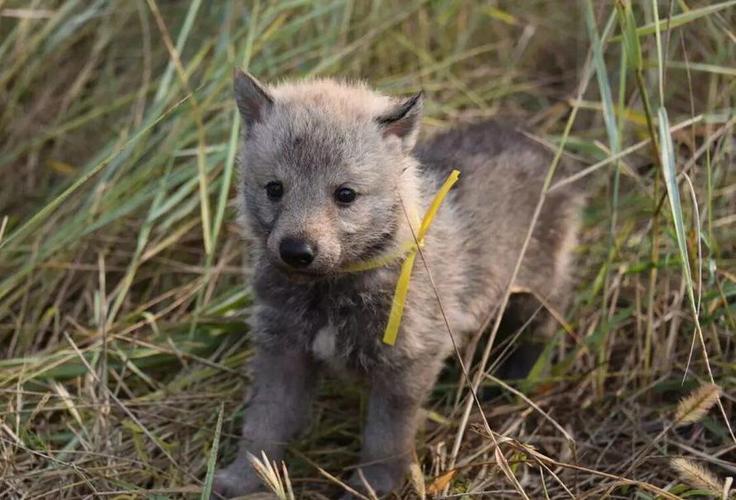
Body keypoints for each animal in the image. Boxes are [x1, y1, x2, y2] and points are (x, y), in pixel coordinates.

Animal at [216, 72, 584, 498]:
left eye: (345, 194)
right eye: (274, 188)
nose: (296, 251)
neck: (330, 290)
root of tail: (537, 142)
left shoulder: (405, 364)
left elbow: (385, 440)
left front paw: (370, 487)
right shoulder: (282, 352)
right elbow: (264, 425)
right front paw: (244, 477)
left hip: (535, 291)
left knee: (539, 334)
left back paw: (517, 382)